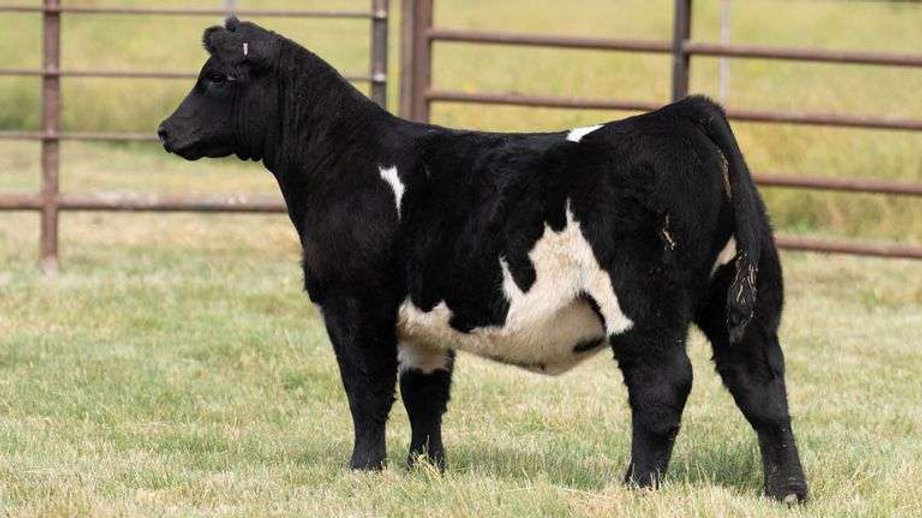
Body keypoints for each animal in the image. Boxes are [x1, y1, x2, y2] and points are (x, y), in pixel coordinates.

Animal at [158, 18, 808, 503]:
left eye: (217, 77)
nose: (166, 130)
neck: (343, 159)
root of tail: (682, 112)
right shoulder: (422, 316)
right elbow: (424, 392)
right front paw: (426, 469)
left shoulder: (352, 301)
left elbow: (366, 388)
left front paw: (364, 469)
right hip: (745, 305)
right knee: (763, 389)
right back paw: (786, 493)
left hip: (641, 304)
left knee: (662, 384)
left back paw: (636, 487)